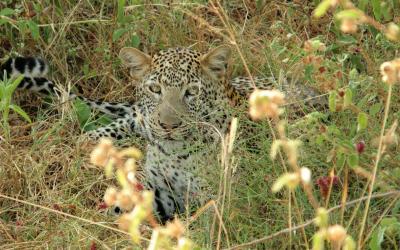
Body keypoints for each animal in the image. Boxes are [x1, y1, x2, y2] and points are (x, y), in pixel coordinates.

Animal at [0, 46, 324, 222]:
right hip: (138, 118)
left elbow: (205, 220)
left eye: (191, 92)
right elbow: (127, 203)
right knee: (123, 121)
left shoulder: (221, 196)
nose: (168, 125)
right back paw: (90, 145)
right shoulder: (159, 188)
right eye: (155, 89)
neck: (175, 153)